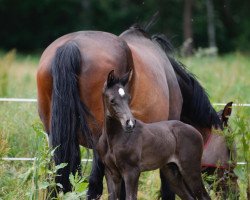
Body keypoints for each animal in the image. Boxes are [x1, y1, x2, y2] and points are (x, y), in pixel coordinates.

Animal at [97, 69, 211, 199]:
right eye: (112, 100)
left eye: (128, 98)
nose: (130, 123)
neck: (113, 139)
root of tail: (197, 132)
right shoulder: (111, 173)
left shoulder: (131, 171)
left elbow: (131, 197)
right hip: (172, 173)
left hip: (190, 169)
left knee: (204, 196)